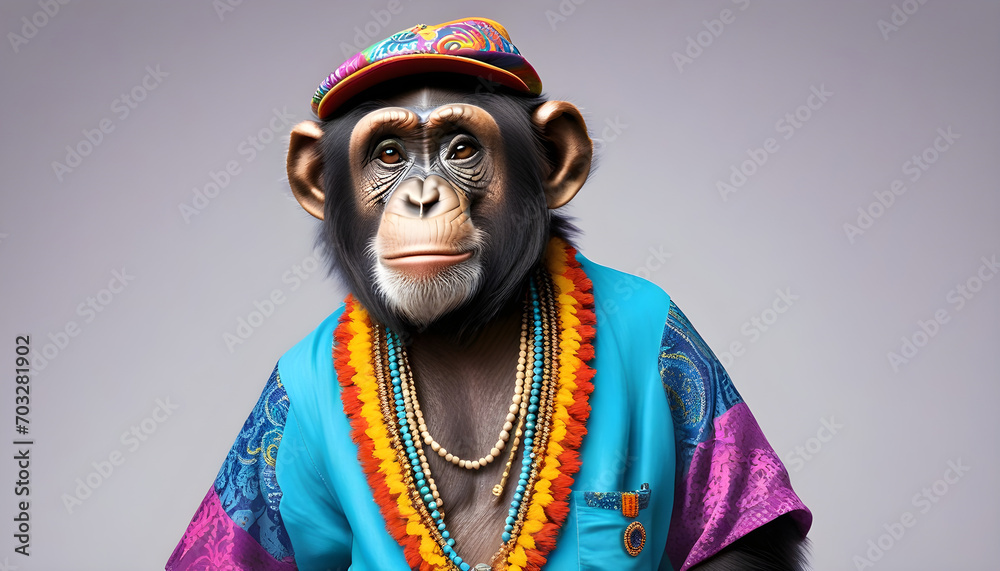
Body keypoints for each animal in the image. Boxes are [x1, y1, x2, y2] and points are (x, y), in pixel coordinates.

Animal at [168, 18, 810, 571]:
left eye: (460, 149)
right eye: (389, 154)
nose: (421, 198)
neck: (462, 328)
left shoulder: (674, 336)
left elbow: (737, 549)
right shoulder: (280, 408)